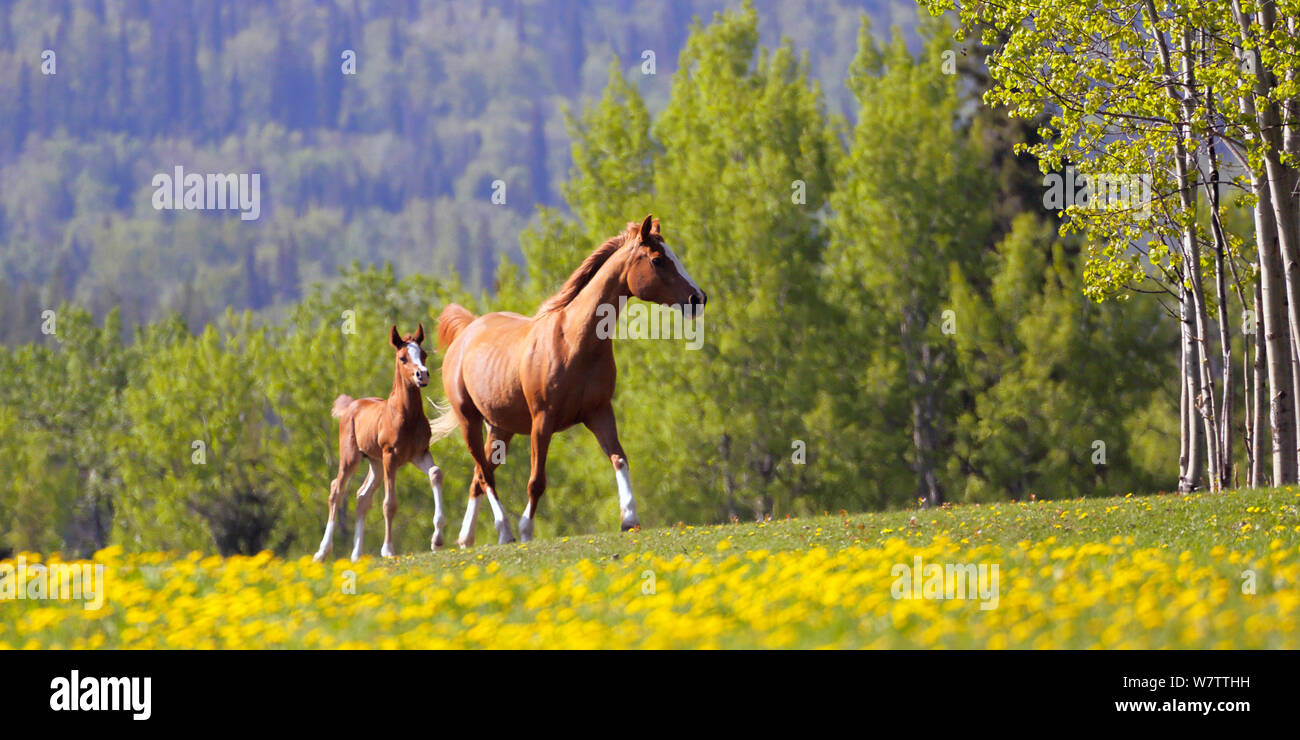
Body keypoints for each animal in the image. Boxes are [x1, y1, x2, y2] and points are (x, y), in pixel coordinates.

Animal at [310, 322, 447, 559]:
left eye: (424, 354)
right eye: (402, 357)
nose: (422, 375)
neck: (406, 416)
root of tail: (350, 406)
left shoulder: (419, 454)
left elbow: (435, 473)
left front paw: (437, 540)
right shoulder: (390, 456)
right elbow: (389, 503)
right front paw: (388, 549)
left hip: (374, 463)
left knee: (362, 496)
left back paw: (356, 555)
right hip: (352, 457)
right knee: (336, 490)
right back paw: (322, 552)